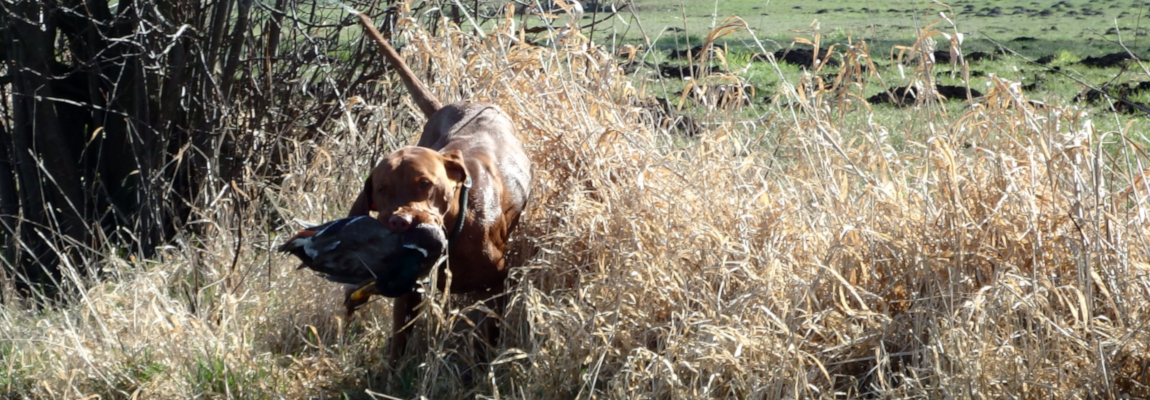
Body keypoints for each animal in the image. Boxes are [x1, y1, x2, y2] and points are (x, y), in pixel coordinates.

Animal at [347, 13, 531, 363]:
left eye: (425, 184)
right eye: (382, 189)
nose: (400, 222)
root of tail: (457, 103)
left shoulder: (496, 284)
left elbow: (486, 340)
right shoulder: (409, 289)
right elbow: (399, 339)